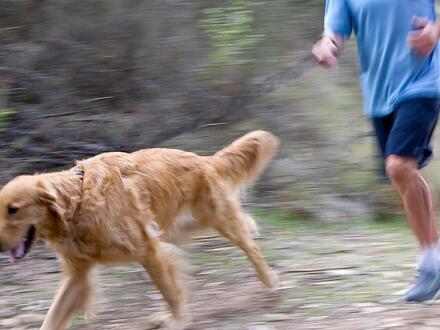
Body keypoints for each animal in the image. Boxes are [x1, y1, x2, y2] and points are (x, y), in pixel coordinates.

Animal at [0, 130, 278, 328]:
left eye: (14, 209)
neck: (78, 202)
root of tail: (205, 159)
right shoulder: (78, 275)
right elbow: (52, 318)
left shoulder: (148, 250)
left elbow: (170, 292)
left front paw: (178, 321)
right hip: (180, 227)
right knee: (244, 225)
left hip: (217, 219)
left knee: (250, 245)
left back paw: (269, 281)